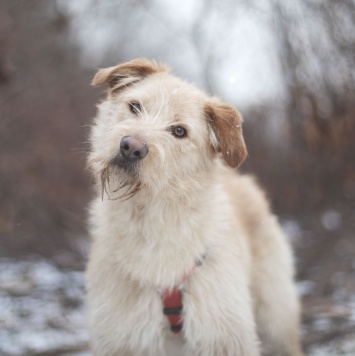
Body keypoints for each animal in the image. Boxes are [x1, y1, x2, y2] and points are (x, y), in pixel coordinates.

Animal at [85, 59, 304, 356]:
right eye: (135, 106)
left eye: (179, 131)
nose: (131, 147)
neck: (149, 218)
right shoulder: (121, 338)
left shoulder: (223, 334)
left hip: (276, 314)